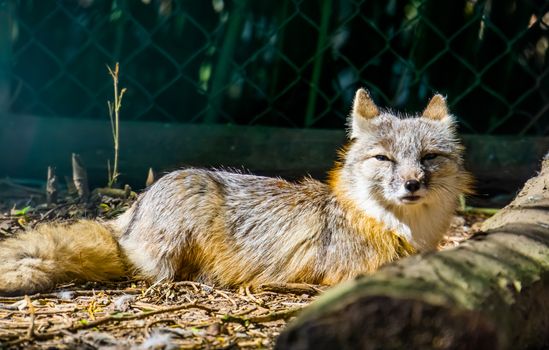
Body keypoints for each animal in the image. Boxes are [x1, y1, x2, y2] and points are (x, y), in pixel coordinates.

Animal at [0, 89, 470, 294]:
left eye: (429, 157)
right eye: (384, 159)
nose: (411, 183)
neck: (398, 228)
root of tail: (129, 215)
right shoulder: (350, 273)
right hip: (182, 216)